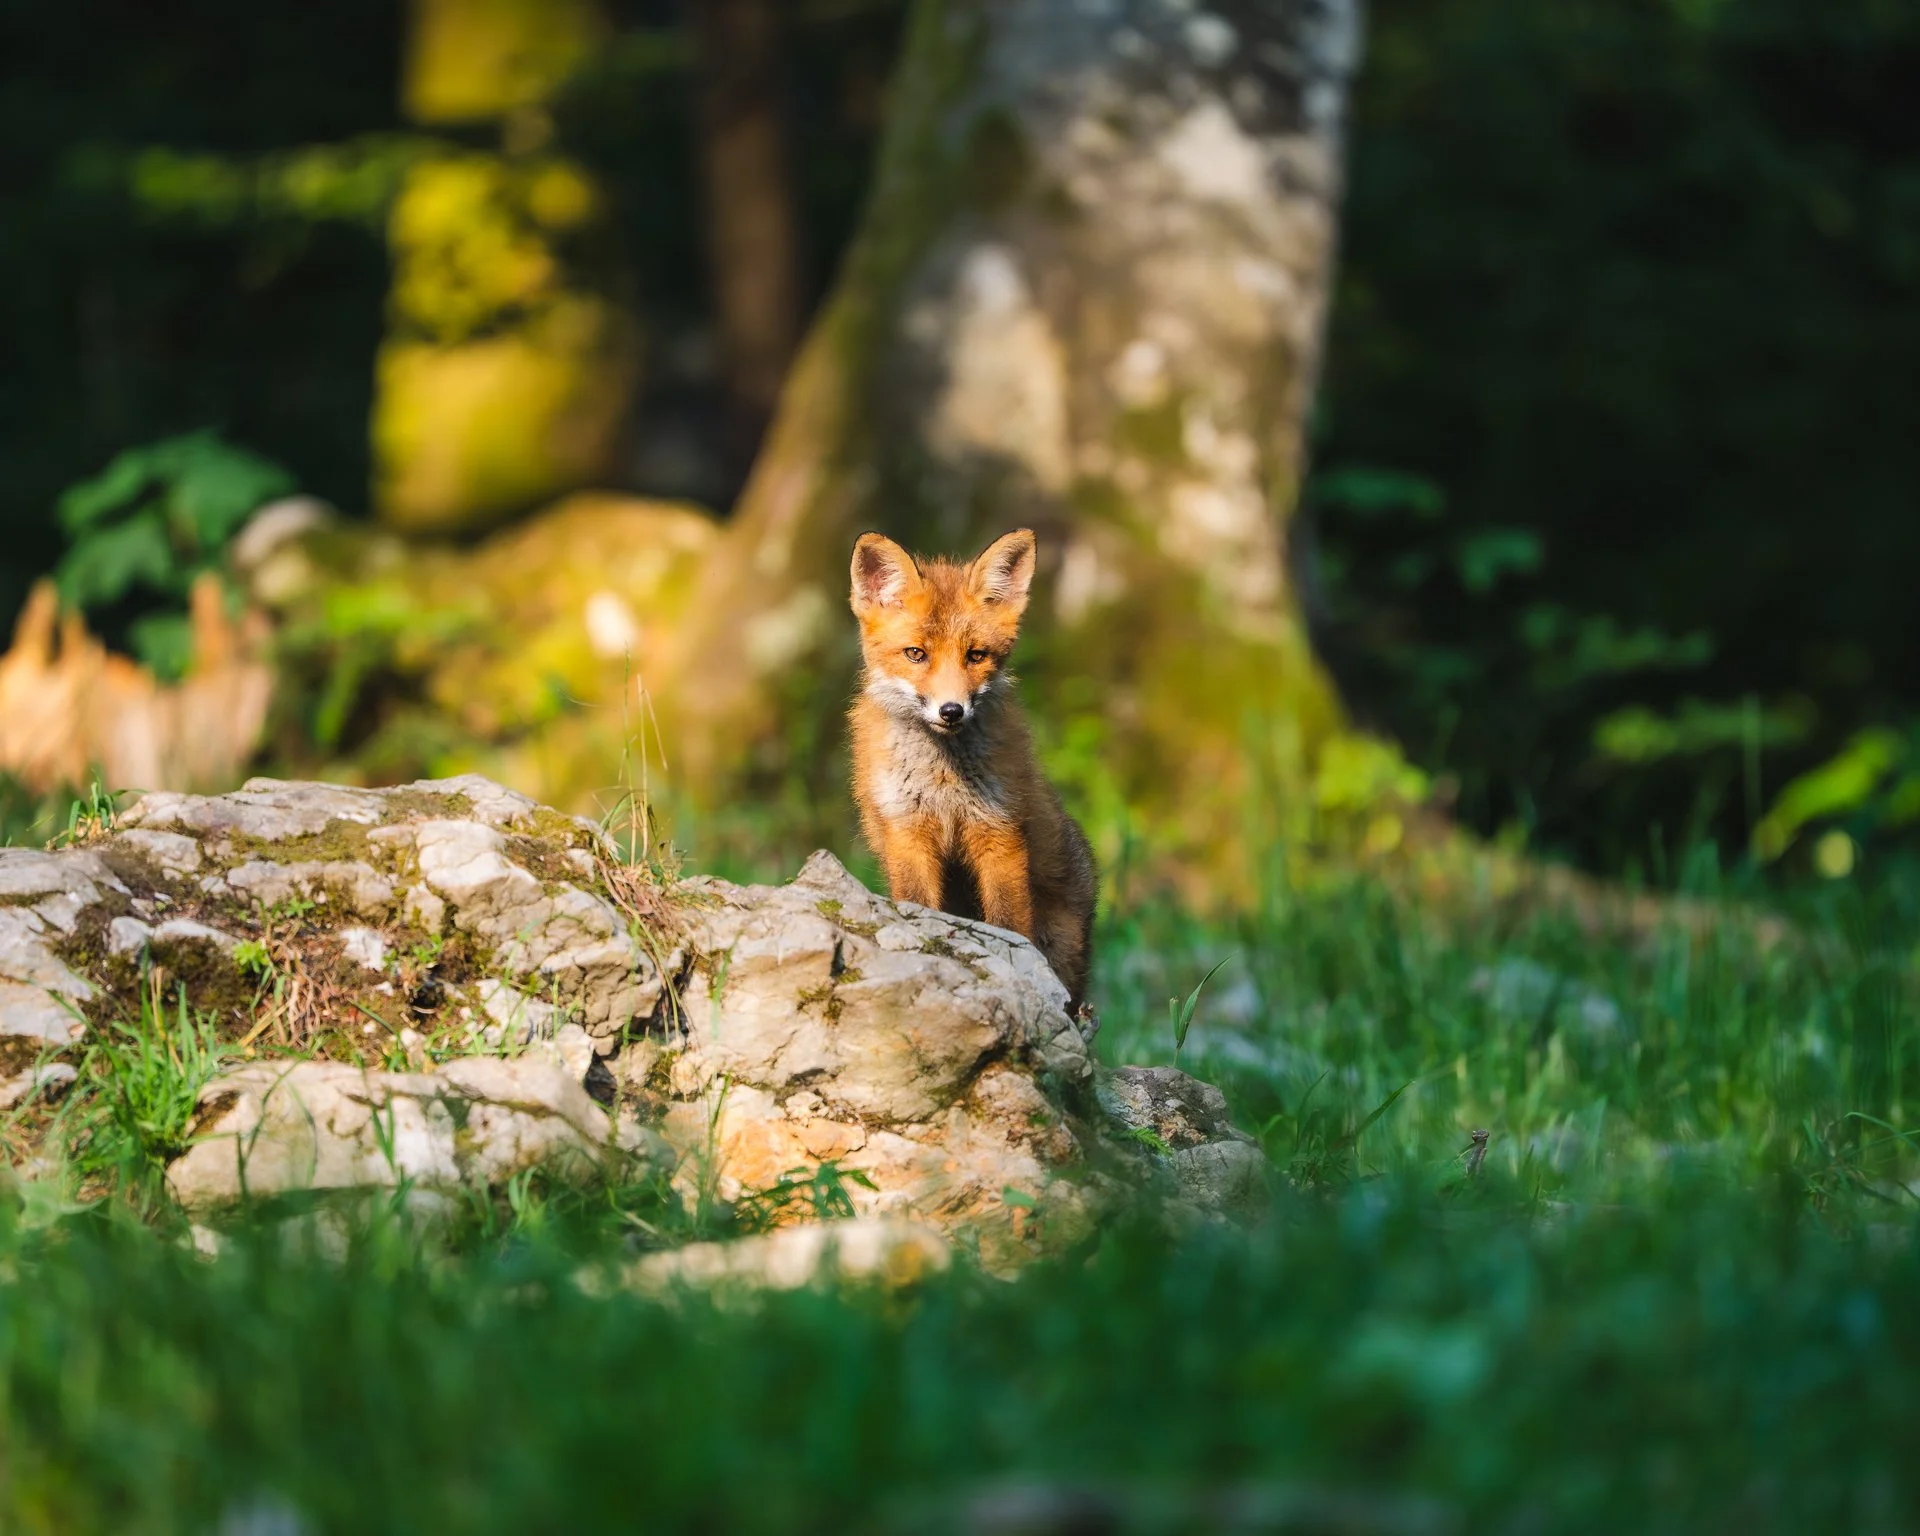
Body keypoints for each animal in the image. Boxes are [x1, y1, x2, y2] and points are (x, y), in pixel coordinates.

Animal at [848, 527, 1098, 1010]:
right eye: (915, 654)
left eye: (976, 656)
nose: (952, 711)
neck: (943, 780)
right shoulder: (907, 833)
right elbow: (920, 906)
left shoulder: (999, 833)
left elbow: (1009, 924)